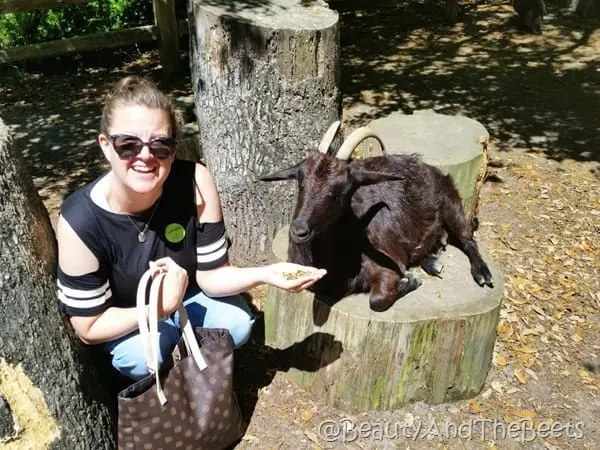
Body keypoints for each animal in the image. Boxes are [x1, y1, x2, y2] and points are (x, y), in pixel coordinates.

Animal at [262, 125, 492, 310]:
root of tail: (429, 167)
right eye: (301, 183)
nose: (299, 230)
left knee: (467, 239)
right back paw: (432, 262)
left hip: (452, 203)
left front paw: (410, 282)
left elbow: (378, 300)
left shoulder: (388, 263)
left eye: (340, 192)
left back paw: (482, 274)